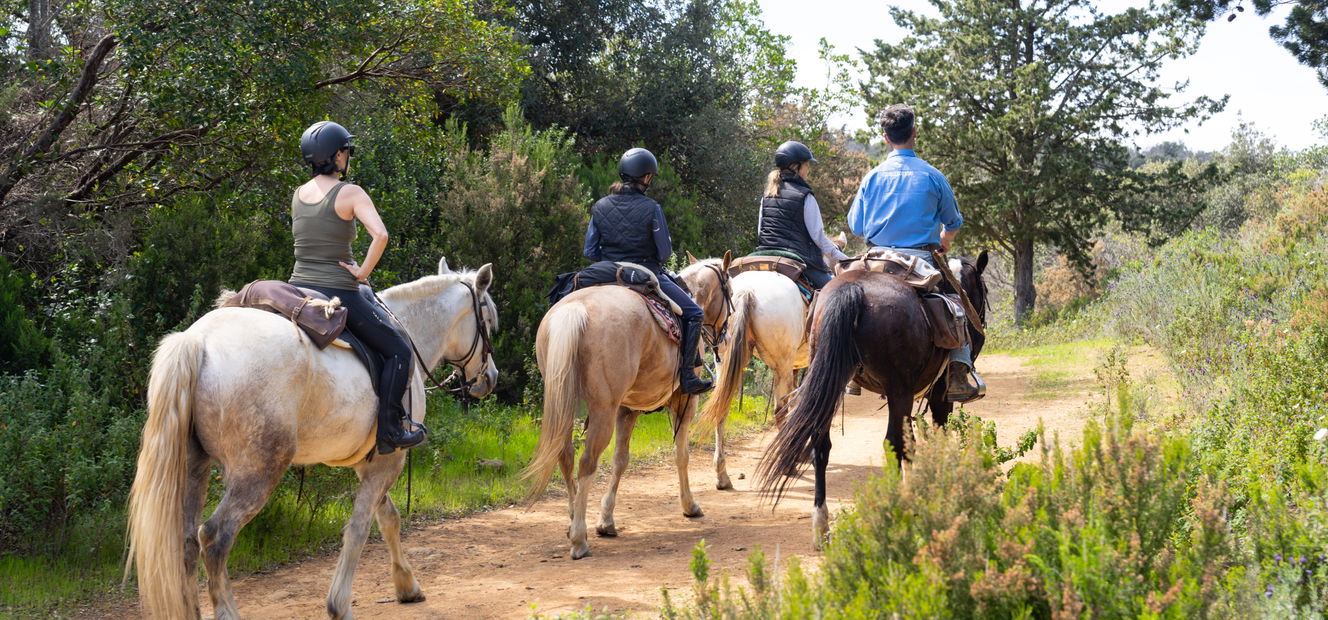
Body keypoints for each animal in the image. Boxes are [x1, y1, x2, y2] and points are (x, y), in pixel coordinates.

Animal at [125, 258, 499, 620]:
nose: (490, 378)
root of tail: (199, 342)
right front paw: (340, 604)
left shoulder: (371, 462)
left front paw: (407, 585)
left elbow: (388, 518)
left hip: (193, 466)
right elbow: (359, 529)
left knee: (186, 543)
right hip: (256, 474)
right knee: (215, 539)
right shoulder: (388, 461)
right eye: (489, 322)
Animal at [523, 255, 731, 560]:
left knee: (566, 455)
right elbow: (681, 455)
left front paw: (606, 520)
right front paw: (690, 505)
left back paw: (574, 522)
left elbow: (620, 460)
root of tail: (575, 310)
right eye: (729, 290)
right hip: (603, 409)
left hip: (566, 400)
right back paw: (579, 539)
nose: (725, 338)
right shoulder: (684, 401)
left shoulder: (627, 408)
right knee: (586, 462)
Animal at [755, 251, 988, 547]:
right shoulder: (938, 395)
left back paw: (821, 525)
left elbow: (912, 444)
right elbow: (935, 438)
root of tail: (853, 289)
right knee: (891, 444)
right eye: (984, 289)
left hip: (832, 379)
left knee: (821, 445)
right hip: (898, 391)